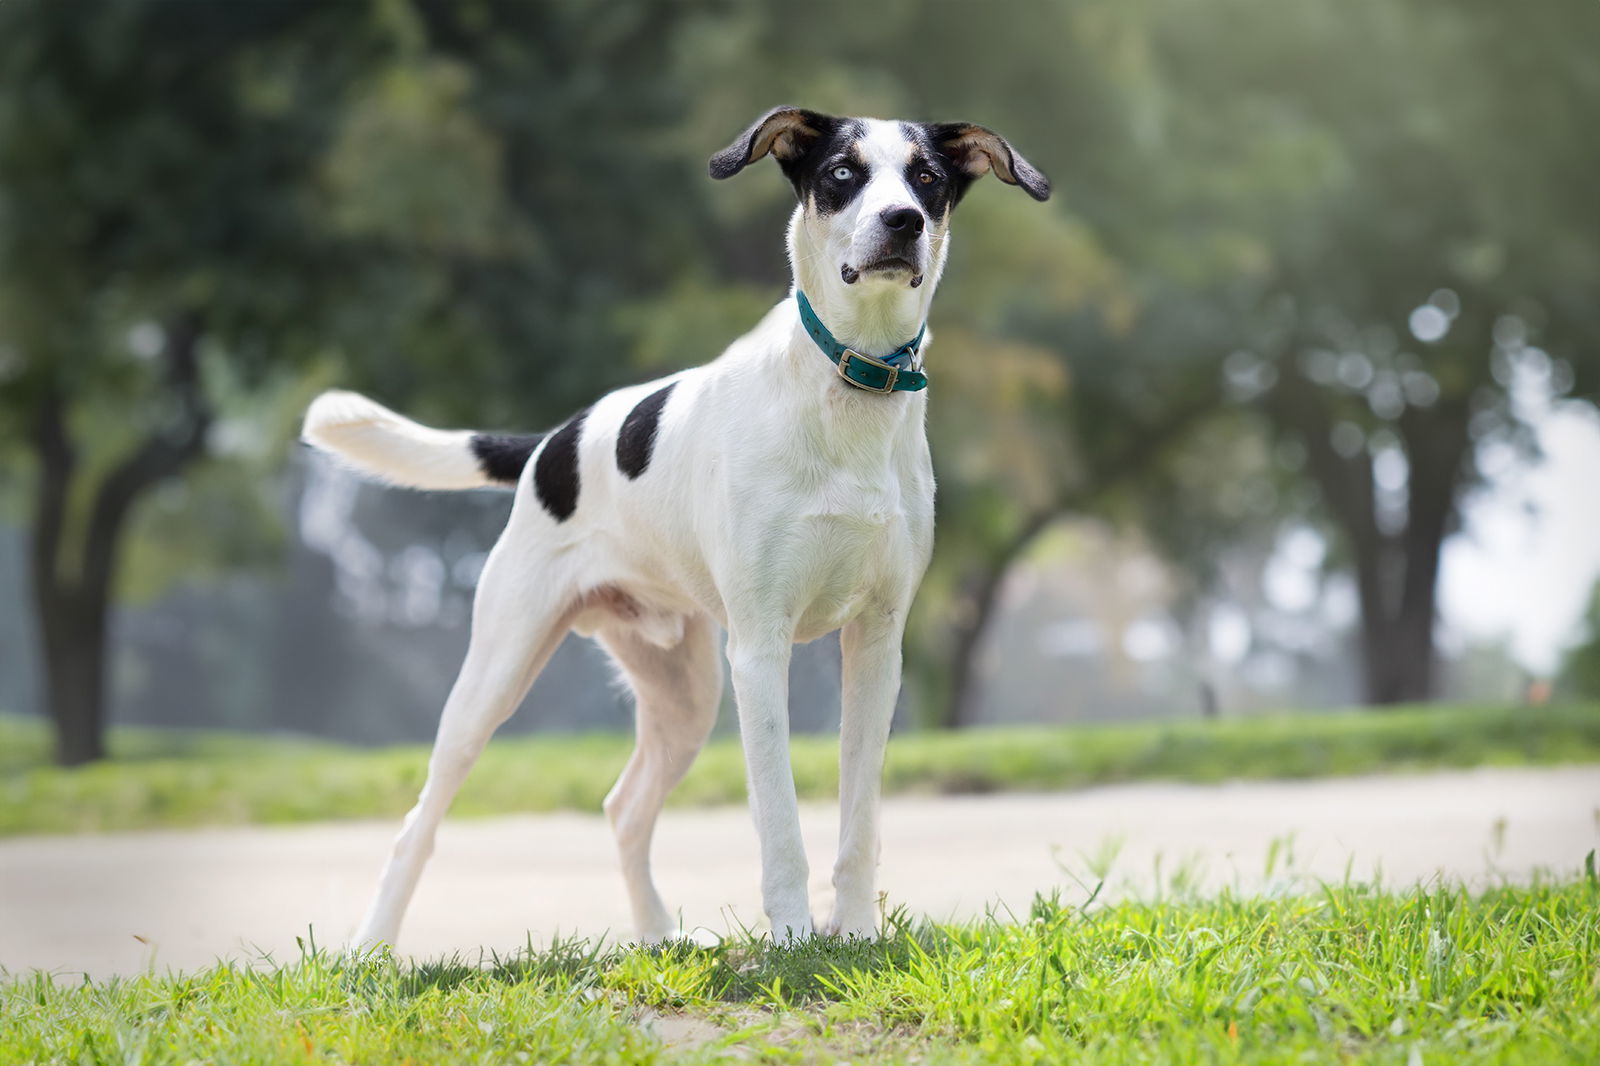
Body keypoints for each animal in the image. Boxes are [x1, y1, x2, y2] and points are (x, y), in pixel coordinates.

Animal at [302, 105, 1049, 941]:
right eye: (841, 174)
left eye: (927, 177)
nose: (903, 221)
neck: (849, 384)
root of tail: (552, 443)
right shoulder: (759, 650)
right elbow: (779, 821)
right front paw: (793, 939)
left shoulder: (878, 645)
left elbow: (859, 821)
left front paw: (853, 932)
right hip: (495, 675)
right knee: (419, 824)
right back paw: (371, 947)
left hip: (683, 695)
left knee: (624, 809)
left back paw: (658, 935)